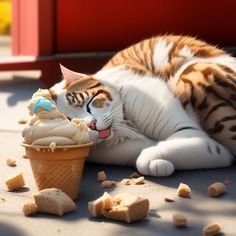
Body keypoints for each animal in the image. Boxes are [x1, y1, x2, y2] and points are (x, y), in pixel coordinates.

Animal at [48, 34, 236, 176]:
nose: (91, 124)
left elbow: (146, 158)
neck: (127, 126)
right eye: (70, 122)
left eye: (88, 103)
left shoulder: (190, 132)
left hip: (192, 71)